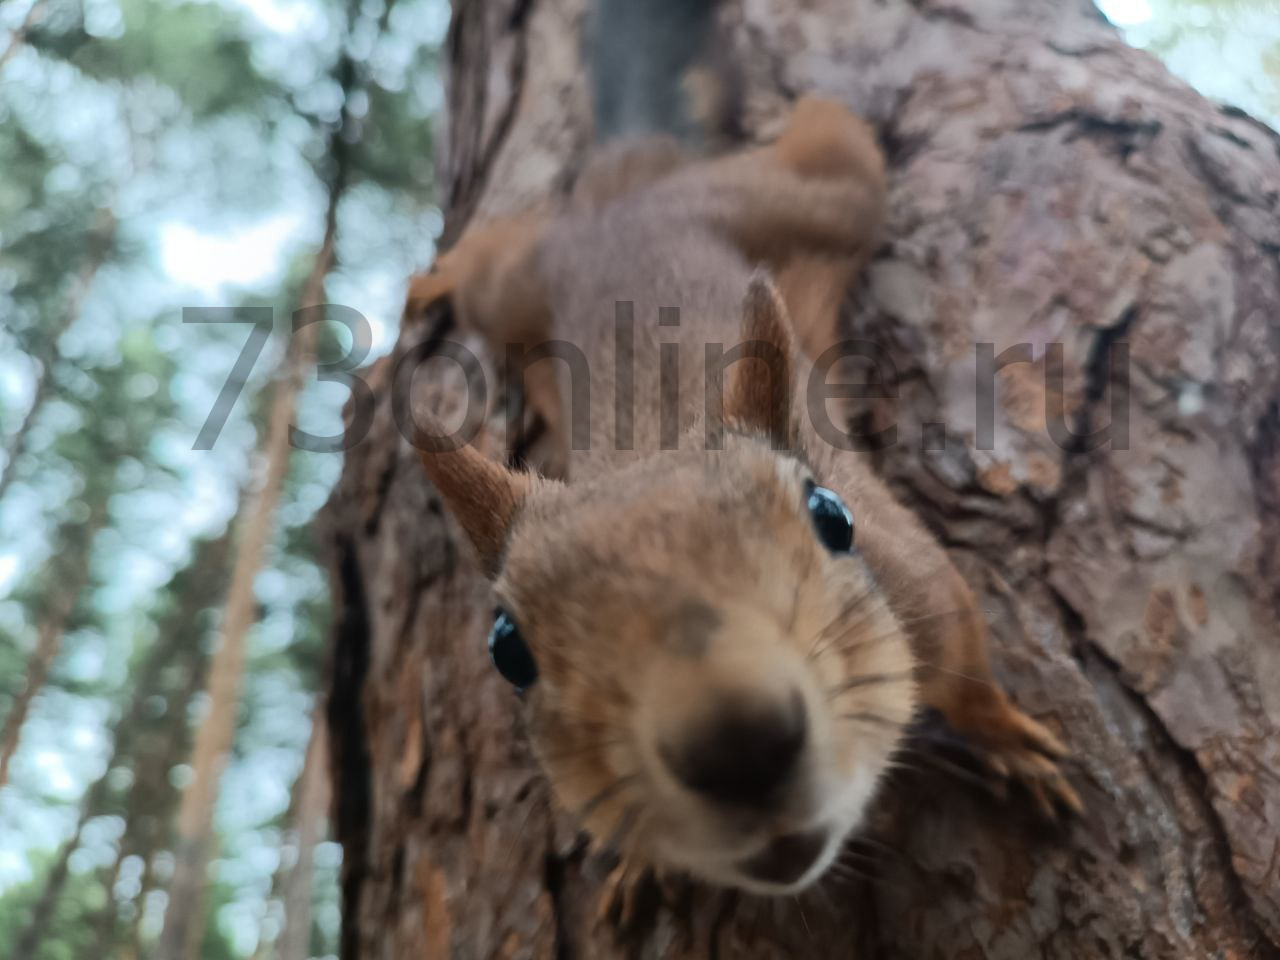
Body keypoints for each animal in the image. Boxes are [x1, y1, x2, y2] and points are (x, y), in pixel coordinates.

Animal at [404, 0, 1075, 901]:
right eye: (507, 649)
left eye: (834, 518)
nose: (736, 742)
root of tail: (633, 189)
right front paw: (637, 864)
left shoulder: (926, 584)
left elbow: (968, 667)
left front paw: (1005, 736)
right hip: (521, 292)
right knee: (496, 259)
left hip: (809, 197)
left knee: (831, 143)